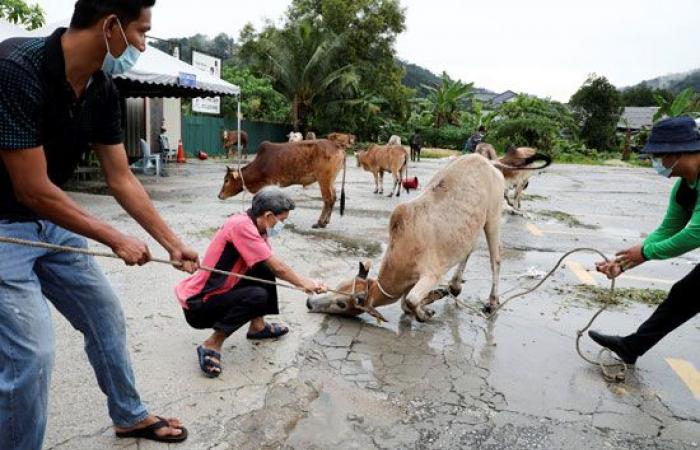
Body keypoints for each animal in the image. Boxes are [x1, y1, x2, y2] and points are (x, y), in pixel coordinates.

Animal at [217, 140, 346, 229]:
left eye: (226, 180)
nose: (219, 195)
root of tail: (337, 146)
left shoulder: (272, 182)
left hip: (324, 179)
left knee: (328, 199)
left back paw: (320, 223)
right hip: (331, 180)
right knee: (333, 198)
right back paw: (326, 221)